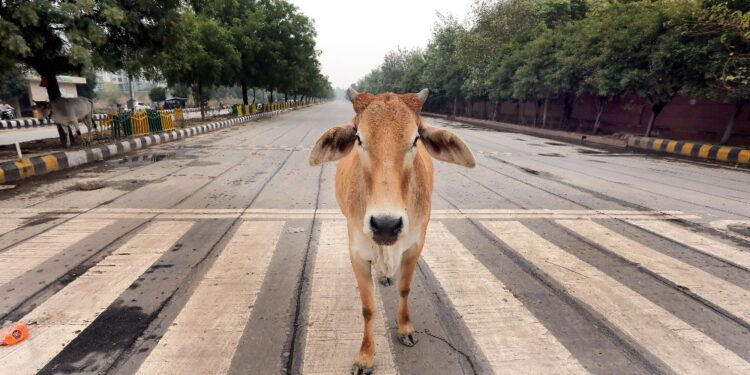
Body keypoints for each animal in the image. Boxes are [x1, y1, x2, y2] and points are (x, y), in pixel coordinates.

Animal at [310, 87, 476, 374]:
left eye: (415, 139)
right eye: (359, 138)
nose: (386, 224)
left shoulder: (415, 246)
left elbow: (404, 289)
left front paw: (405, 328)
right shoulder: (357, 252)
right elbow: (368, 308)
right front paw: (365, 356)